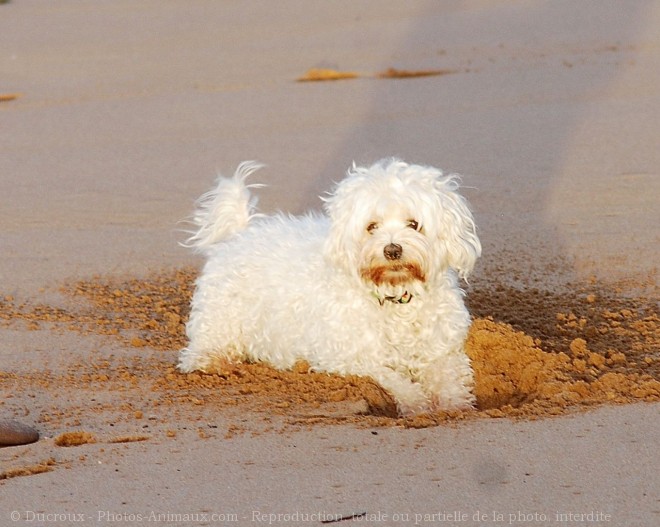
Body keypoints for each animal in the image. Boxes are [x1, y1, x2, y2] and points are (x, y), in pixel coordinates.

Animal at [178, 159, 482, 414]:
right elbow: (395, 380)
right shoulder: (350, 357)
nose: (392, 249)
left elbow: (451, 379)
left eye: (414, 224)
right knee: (200, 350)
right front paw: (416, 404)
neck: (394, 296)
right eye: (371, 226)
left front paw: (454, 406)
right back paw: (211, 363)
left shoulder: (443, 352)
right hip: (221, 319)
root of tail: (240, 232)